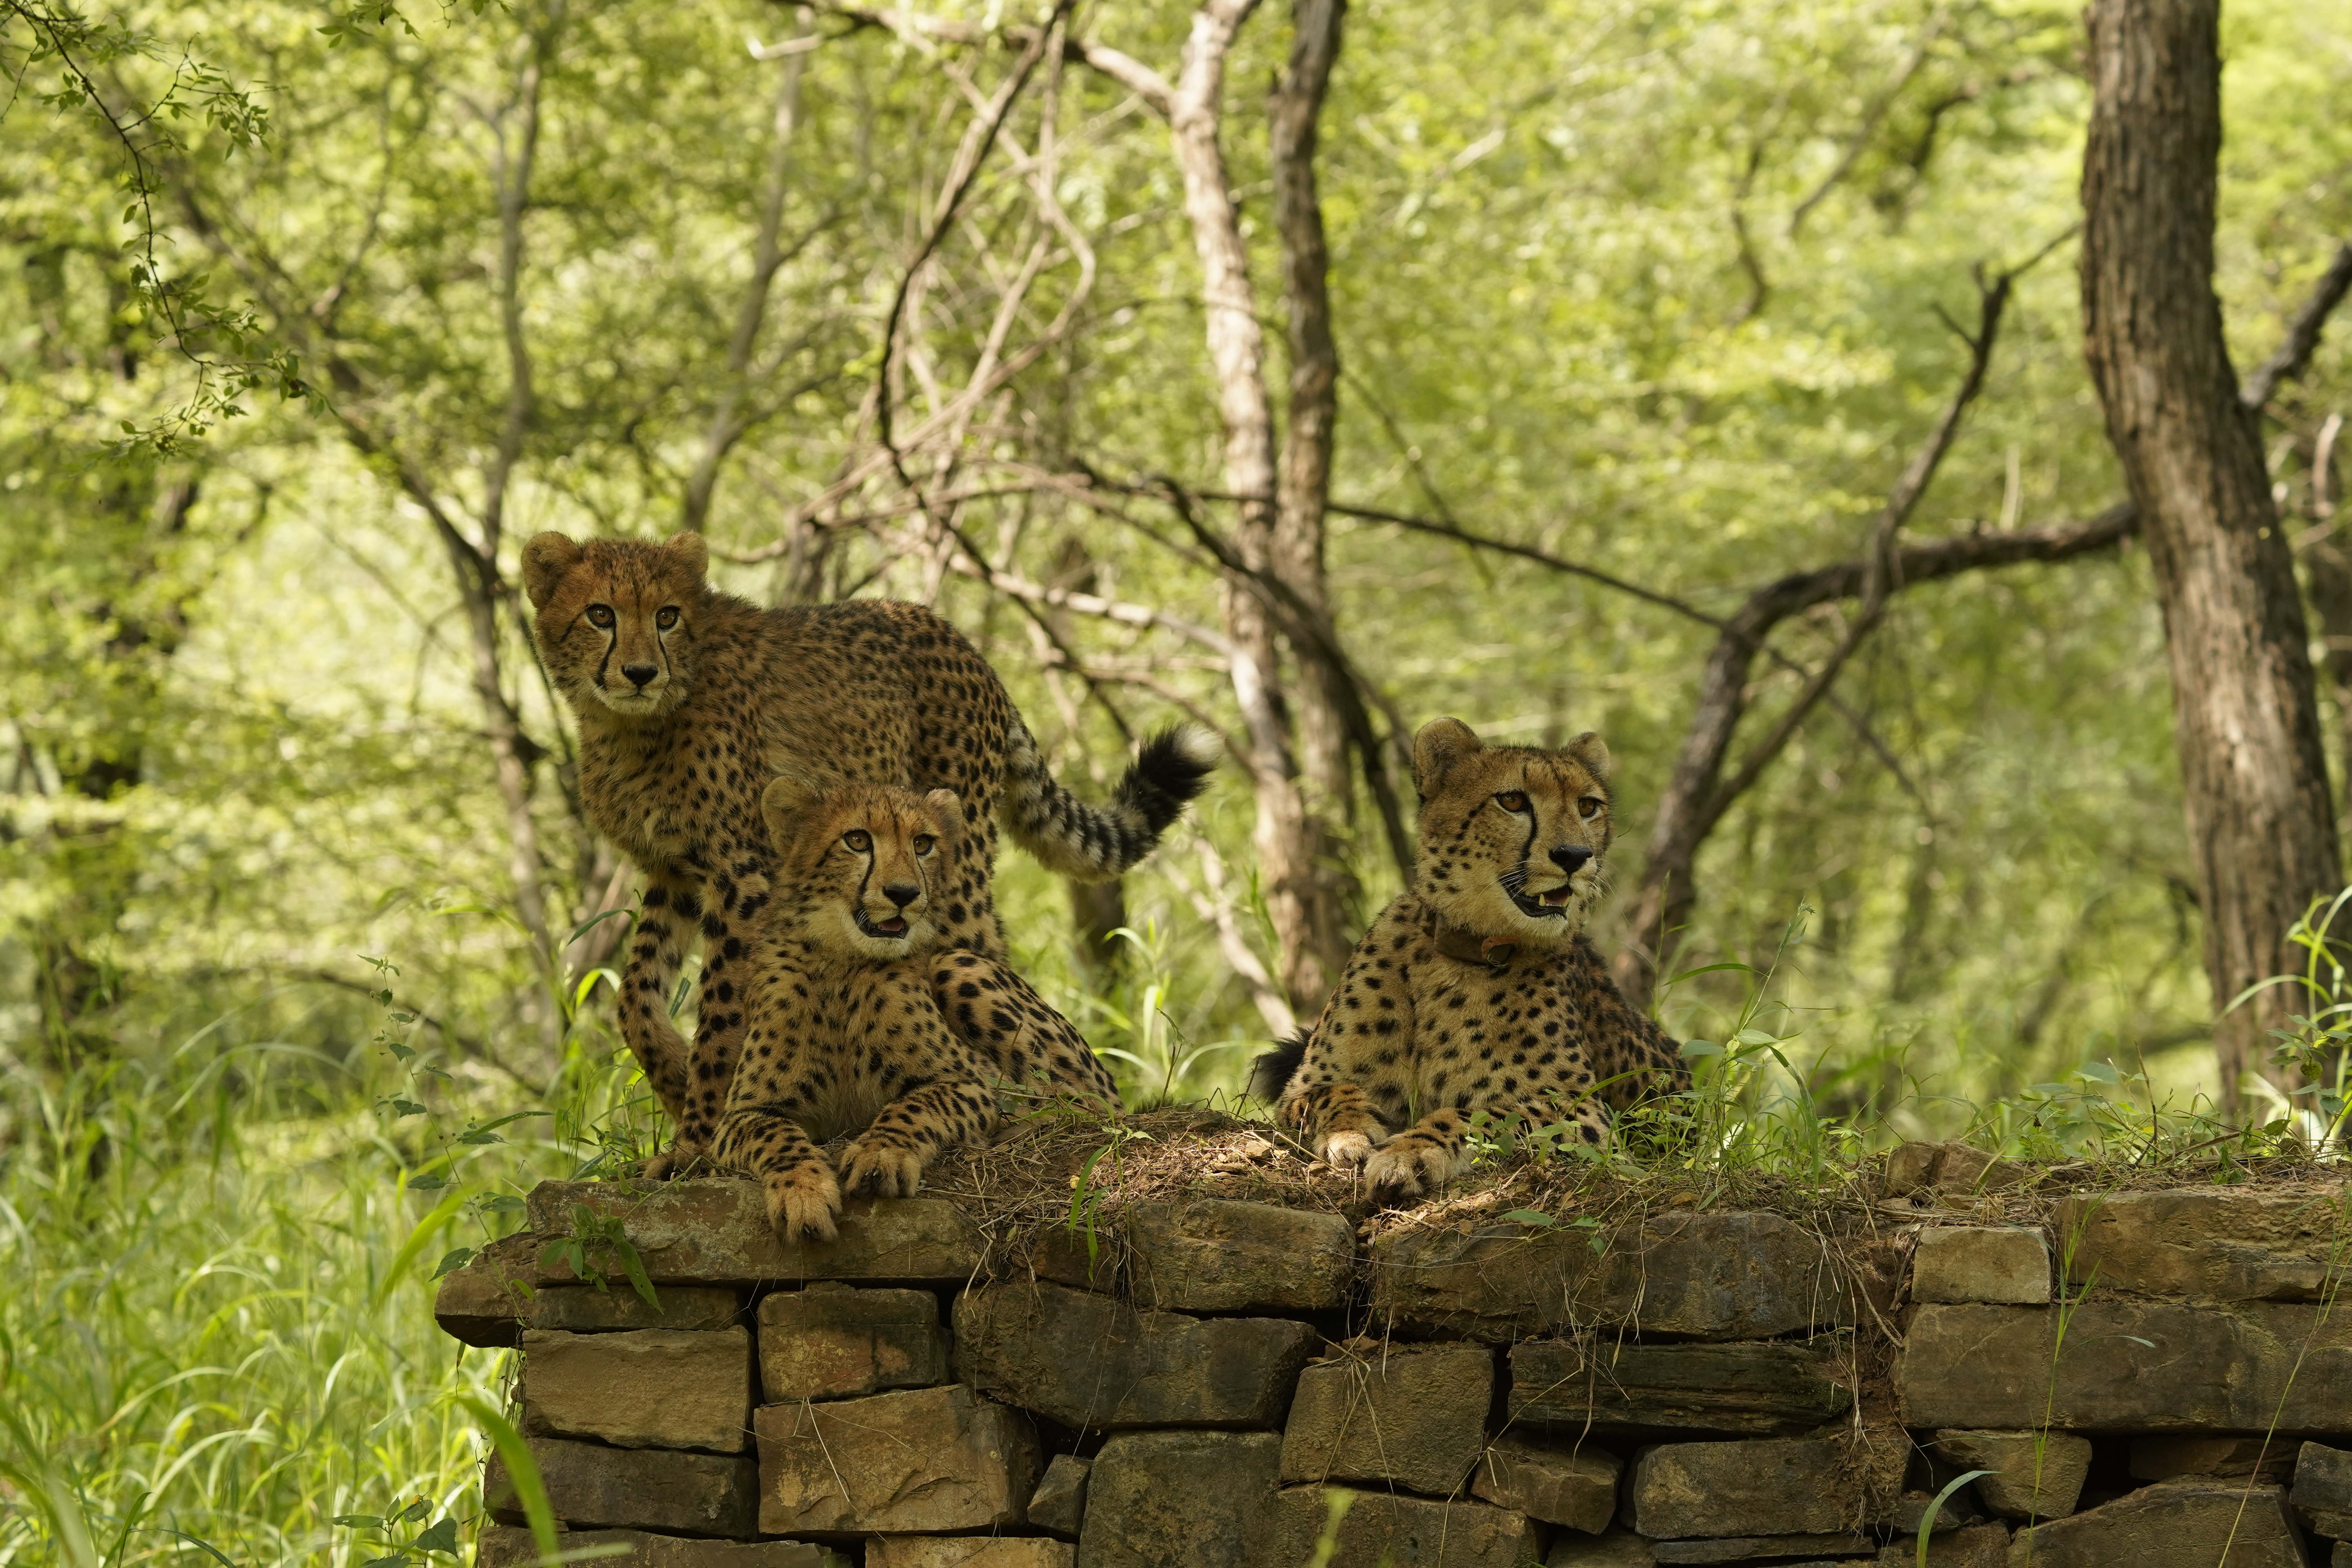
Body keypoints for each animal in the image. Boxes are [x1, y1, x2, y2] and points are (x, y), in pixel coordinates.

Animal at [521, 530, 1210, 1176]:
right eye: (600, 614)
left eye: (667, 615)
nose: (640, 672)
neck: (632, 723)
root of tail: (958, 639)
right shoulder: (675, 873)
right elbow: (635, 995)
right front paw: (671, 1074)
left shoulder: (742, 874)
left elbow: (721, 1012)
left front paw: (698, 1137)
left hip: (952, 871)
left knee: (989, 964)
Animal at [713, 772, 1121, 1242]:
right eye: (857, 840)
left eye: (923, 843)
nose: (904, 893)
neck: (843, 963)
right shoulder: (741, 1114)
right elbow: (776, 1134)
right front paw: (803, 1192)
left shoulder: (975, 1082)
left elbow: (916, 1105)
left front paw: (882, 1155)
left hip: (955, 965)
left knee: (1084, 1104)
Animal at [1249, 716, 1686, 1205]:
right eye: (1512, 800)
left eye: (1588, 806)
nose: (1575, 856)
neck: (1464, 950)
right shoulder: (1305, 1085)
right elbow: (1335, 1092)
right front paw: (1351, 1133)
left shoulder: (1584, 1112)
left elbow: (1481, 1113)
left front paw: (1411, 1151)